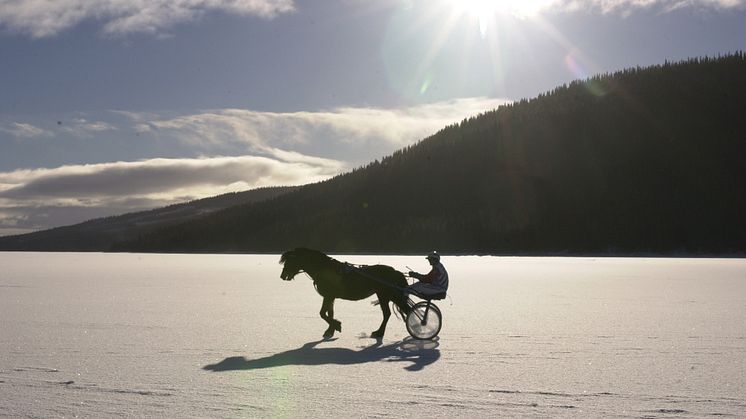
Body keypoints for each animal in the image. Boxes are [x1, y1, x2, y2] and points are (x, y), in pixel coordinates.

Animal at [280, 248, 410, 340]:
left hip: (385, 295)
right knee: (398, 311)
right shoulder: (331, 296)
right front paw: (330, 330)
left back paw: (380, 332)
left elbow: (322, 313)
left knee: (389, 313)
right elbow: (330, 313)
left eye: (290, 261)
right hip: (388, 295)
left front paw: (337, 325)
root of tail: (395, 271)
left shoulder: (328, 296)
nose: (282, 276)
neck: (323, 269)